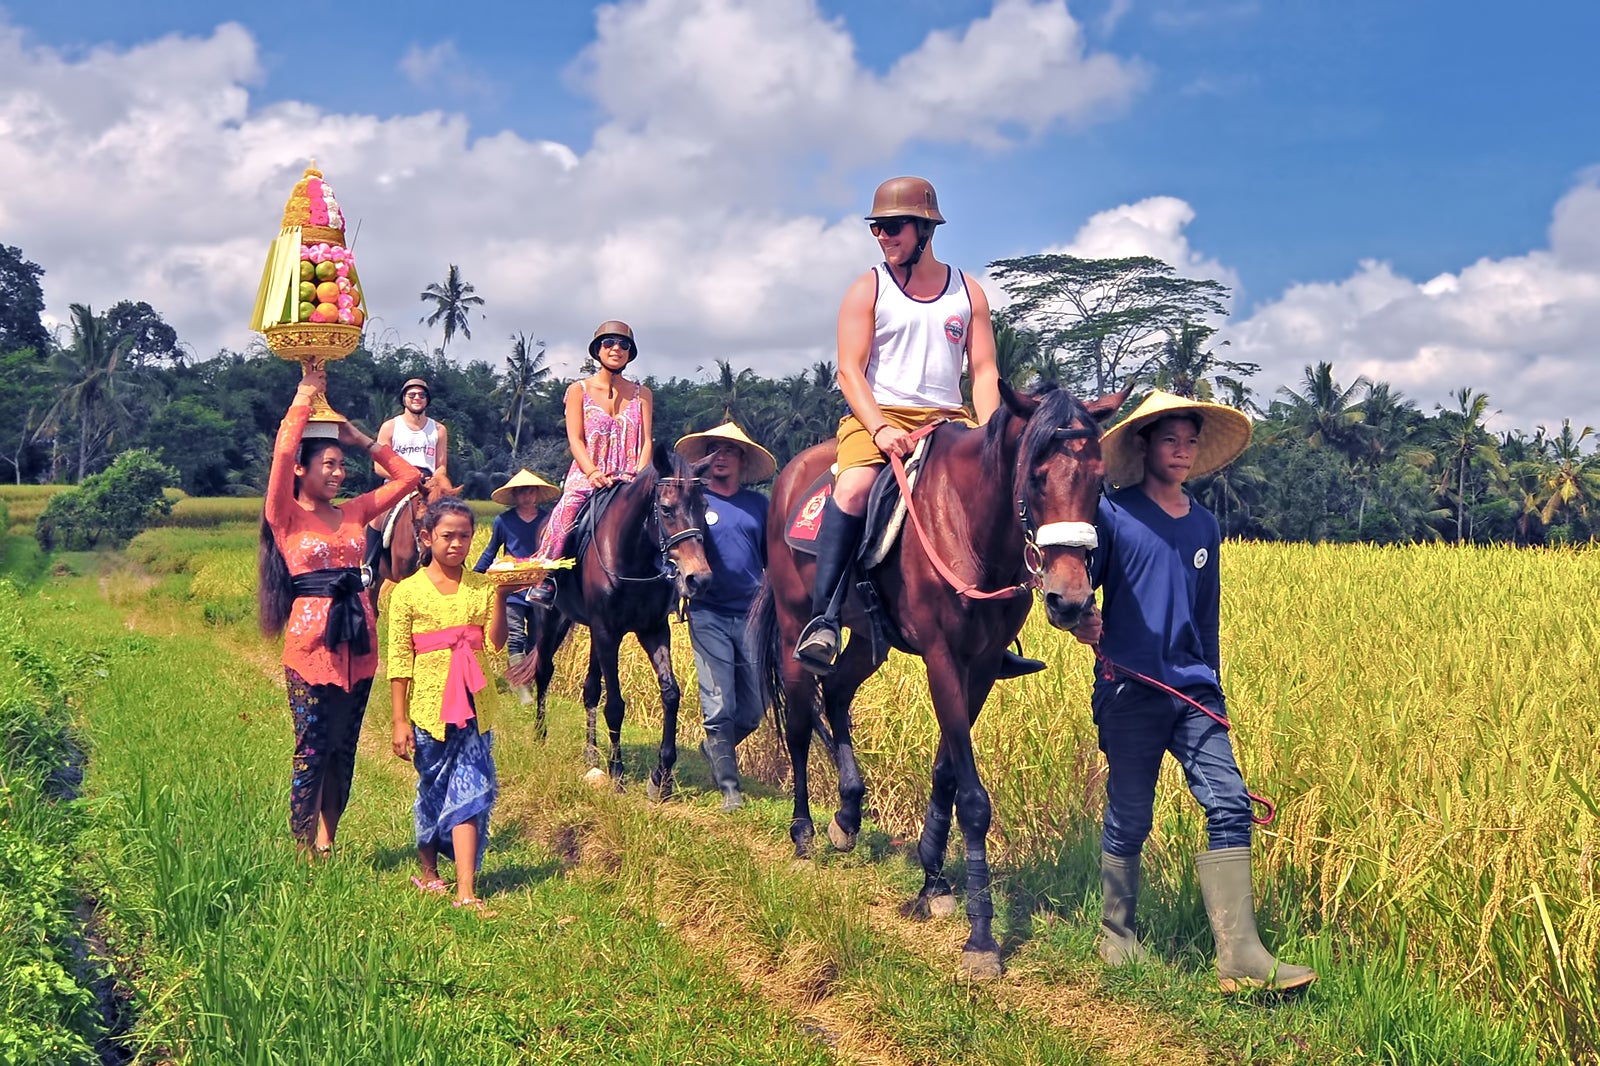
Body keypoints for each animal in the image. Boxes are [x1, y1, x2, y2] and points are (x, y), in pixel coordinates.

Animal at [512, 441, 713, 797]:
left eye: (703, 507)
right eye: (666, 509)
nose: (698, 579)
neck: (633, 558)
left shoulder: (652, 630)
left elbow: (671, 693)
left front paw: (662, 776)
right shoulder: (607, 631)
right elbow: (616, 704)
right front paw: (617, 772)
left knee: (590, 688)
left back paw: (591, 752)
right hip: (552, 620)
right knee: (544, 671)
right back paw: (540, 735)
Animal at [752, 379, 1120, 973]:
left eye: (1099, 481)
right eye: (1035, 477)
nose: (1070, 600)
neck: (972, 527)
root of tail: (789, 475)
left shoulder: (984, 665)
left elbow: (948, 771)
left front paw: (932, 881)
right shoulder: (943, 658)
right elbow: (973, 799)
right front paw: (982, 936)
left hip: (868, 639)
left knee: (836, 692)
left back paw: (847, 816)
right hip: (791, 629)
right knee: (801, 723)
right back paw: (803, 831)